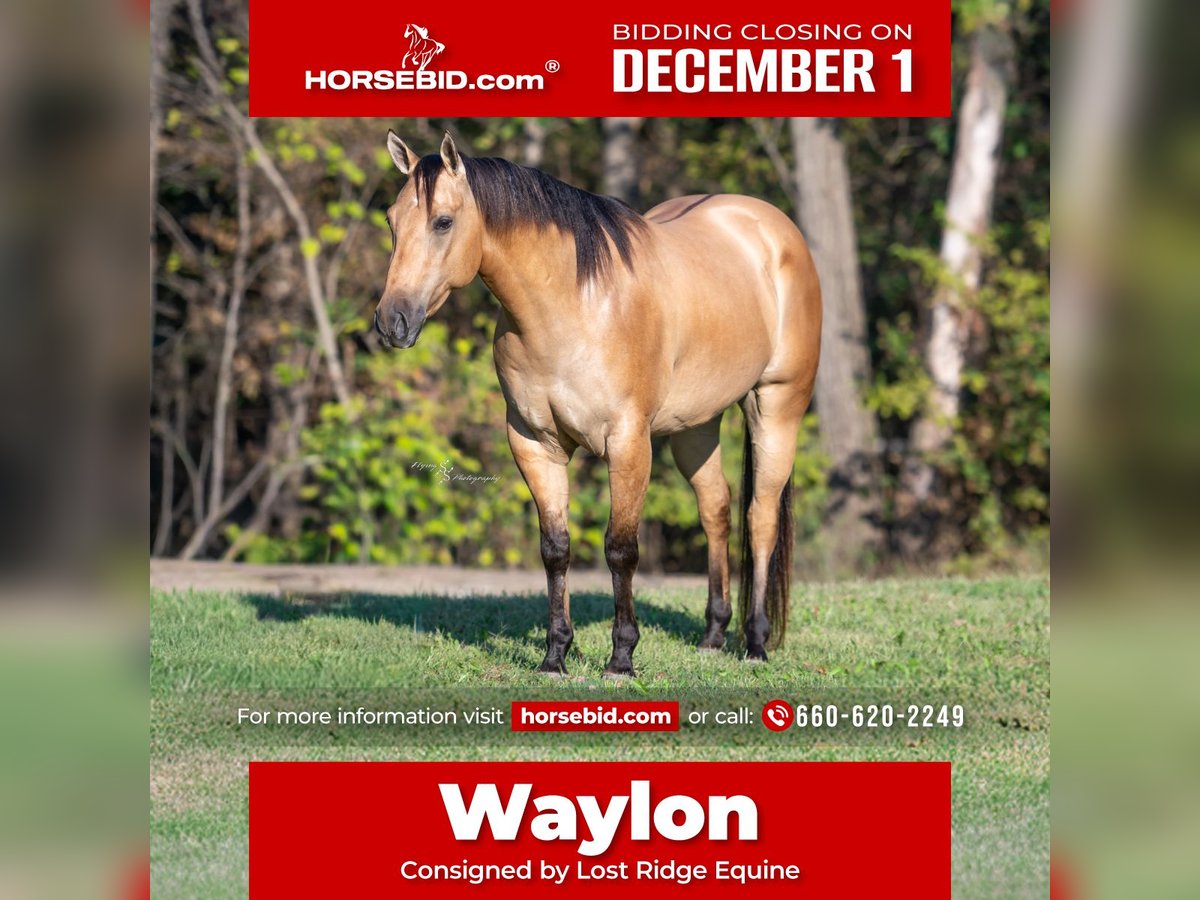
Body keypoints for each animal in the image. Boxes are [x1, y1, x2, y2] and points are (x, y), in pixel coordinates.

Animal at [375, 132, 822, 677]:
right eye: (392, 221)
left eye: (442, 221)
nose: (391, 322)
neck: (572, 305)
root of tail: (771, 227)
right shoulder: (534, 444)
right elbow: (555, 549)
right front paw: (555, 655)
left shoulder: (628, 443)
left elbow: (620, 549)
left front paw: (622, 657)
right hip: (695, 426)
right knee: (716, 508)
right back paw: (714, 635)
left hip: (776, 407)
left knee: (761, 518)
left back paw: (755, 643)